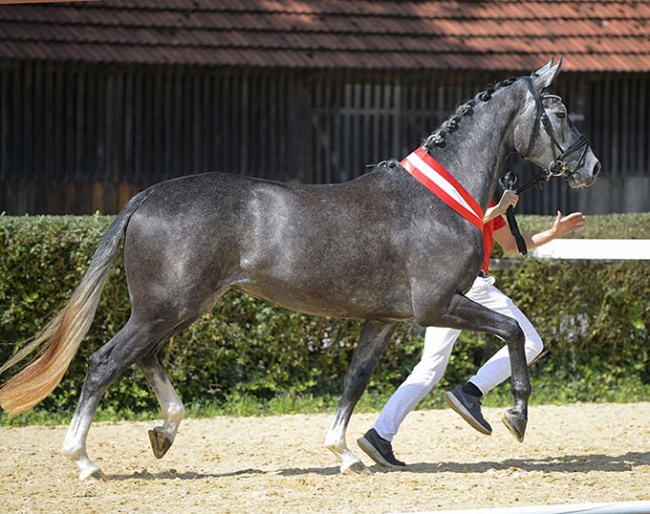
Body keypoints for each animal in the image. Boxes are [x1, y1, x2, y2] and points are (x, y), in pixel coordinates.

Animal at [0, 58, 596, 478]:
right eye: (560, 113)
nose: (589, 165)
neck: (436, 200)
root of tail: (149, 197)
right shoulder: (439, 306)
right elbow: (512, 331)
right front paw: (515, 417)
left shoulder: (384, 320)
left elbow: (355, 381)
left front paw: (346, 454)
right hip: (164, 307)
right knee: (105, 363)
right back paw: (85, 461)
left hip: (182, 307)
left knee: (144, 358)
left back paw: (163, 434)